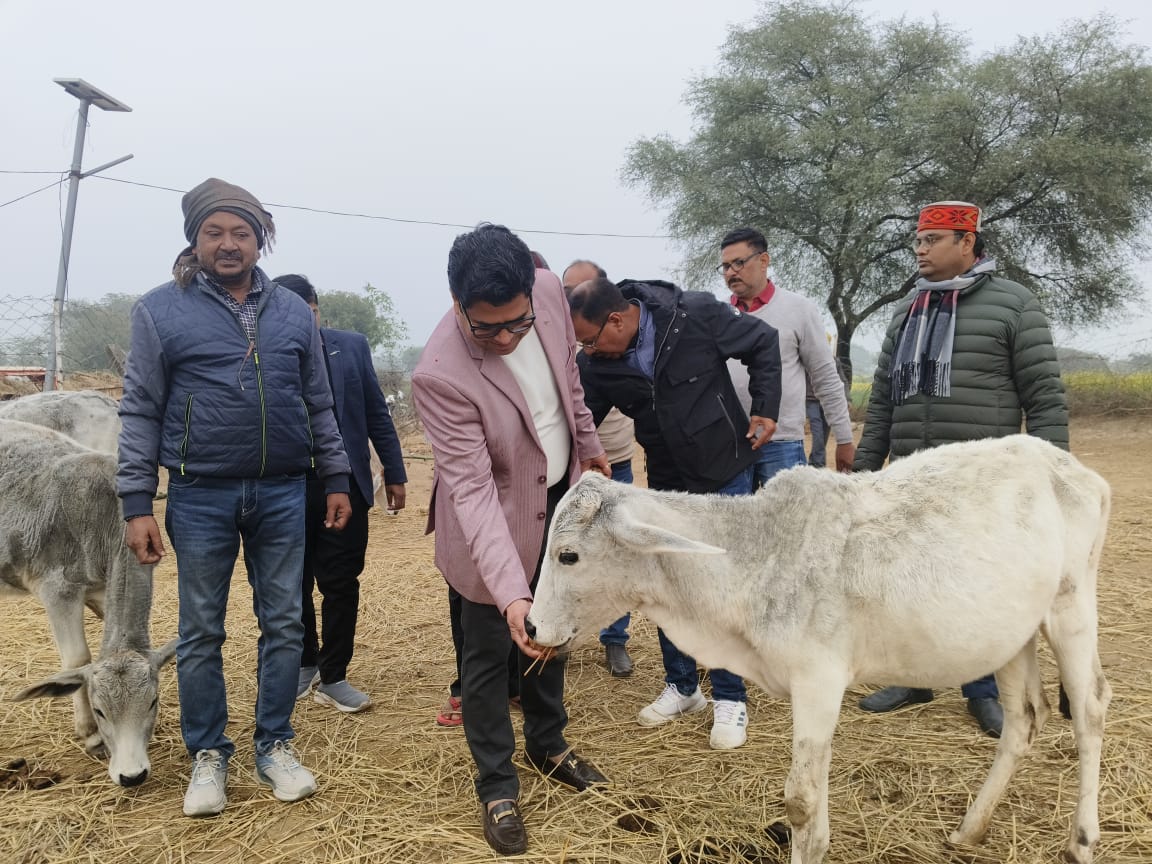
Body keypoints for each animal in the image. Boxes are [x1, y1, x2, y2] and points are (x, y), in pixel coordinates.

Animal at [0, 419, 176, 787]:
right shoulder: (57, 587)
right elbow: (77, 658)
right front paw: (91, 734)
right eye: (99, 710)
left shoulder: (101, 590)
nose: (132, 775)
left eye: (152, 702)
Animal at [526, 435, 1111, 864]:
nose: (531, 626)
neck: (754, 554)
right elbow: (814, 799)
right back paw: (970, 829)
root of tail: (1074, 469)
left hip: (1071, 607)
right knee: (1023, 719)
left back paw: (1081, 840)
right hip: (1011, 635)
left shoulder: (818, 681)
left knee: (1089, 711)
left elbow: (801, 802)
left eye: (568, 554)